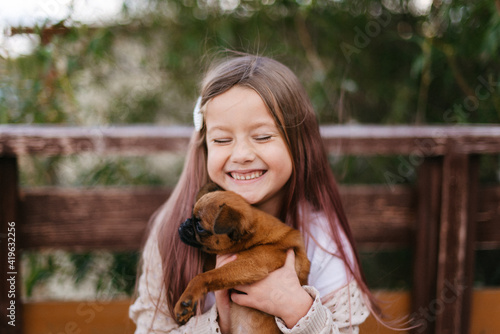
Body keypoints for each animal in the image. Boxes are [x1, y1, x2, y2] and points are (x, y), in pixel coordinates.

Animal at [175, 184, 308, 332]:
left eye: (199, 227)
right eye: (190, 216)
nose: (185, 223)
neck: (253, 236)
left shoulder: (250, 265)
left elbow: (202, 277)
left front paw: (186, 299)